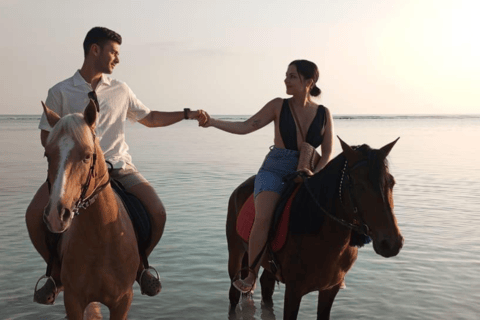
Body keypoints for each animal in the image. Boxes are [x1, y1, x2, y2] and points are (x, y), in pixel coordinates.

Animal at [40, 99, 140, 318]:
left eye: (87, 156)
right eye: (47, 155)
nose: (56, 216)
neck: (102, 237)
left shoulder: (123, 301)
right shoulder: (73, 300)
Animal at [227, 138, 404, 320]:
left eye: (391, 182)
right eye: (358, 185)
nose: (391, 243)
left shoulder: (330, 289)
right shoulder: (294, 291)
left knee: (266, 287)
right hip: (236, 252)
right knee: (234, 294)